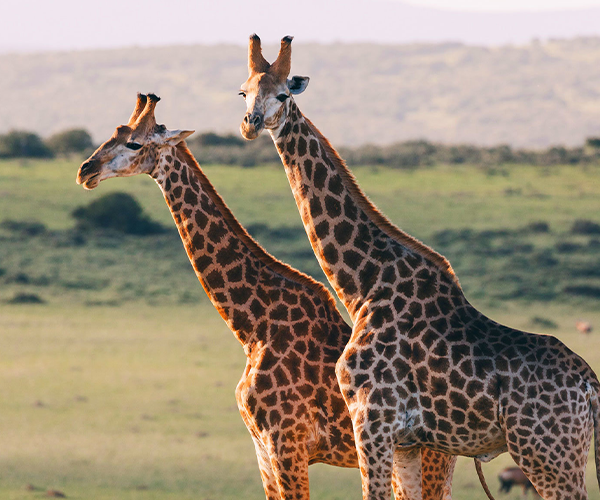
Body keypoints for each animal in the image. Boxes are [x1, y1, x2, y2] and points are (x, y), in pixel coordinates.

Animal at [77, 93, 458, 500]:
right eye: (114, 132)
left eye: (134, 143)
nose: (85, 170)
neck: (253, 328)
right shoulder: (261, 448)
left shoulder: (286, 443)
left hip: (431, 456)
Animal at [238, 33, 600, 498]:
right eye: (244, 91)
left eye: (283, 93)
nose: (250, 123)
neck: (363, 285)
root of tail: (589, 387)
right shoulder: (407, 441)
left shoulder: (372, 420)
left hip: (549, 454)